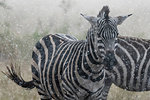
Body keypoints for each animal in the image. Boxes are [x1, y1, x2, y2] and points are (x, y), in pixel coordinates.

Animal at [2, 5, 131, 99]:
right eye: (98, 35)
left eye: (117, 34)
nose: (110, 61)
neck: (94, 71)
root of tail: (53, 33)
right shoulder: (70, 95)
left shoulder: (96, 95)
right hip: (42, 89)